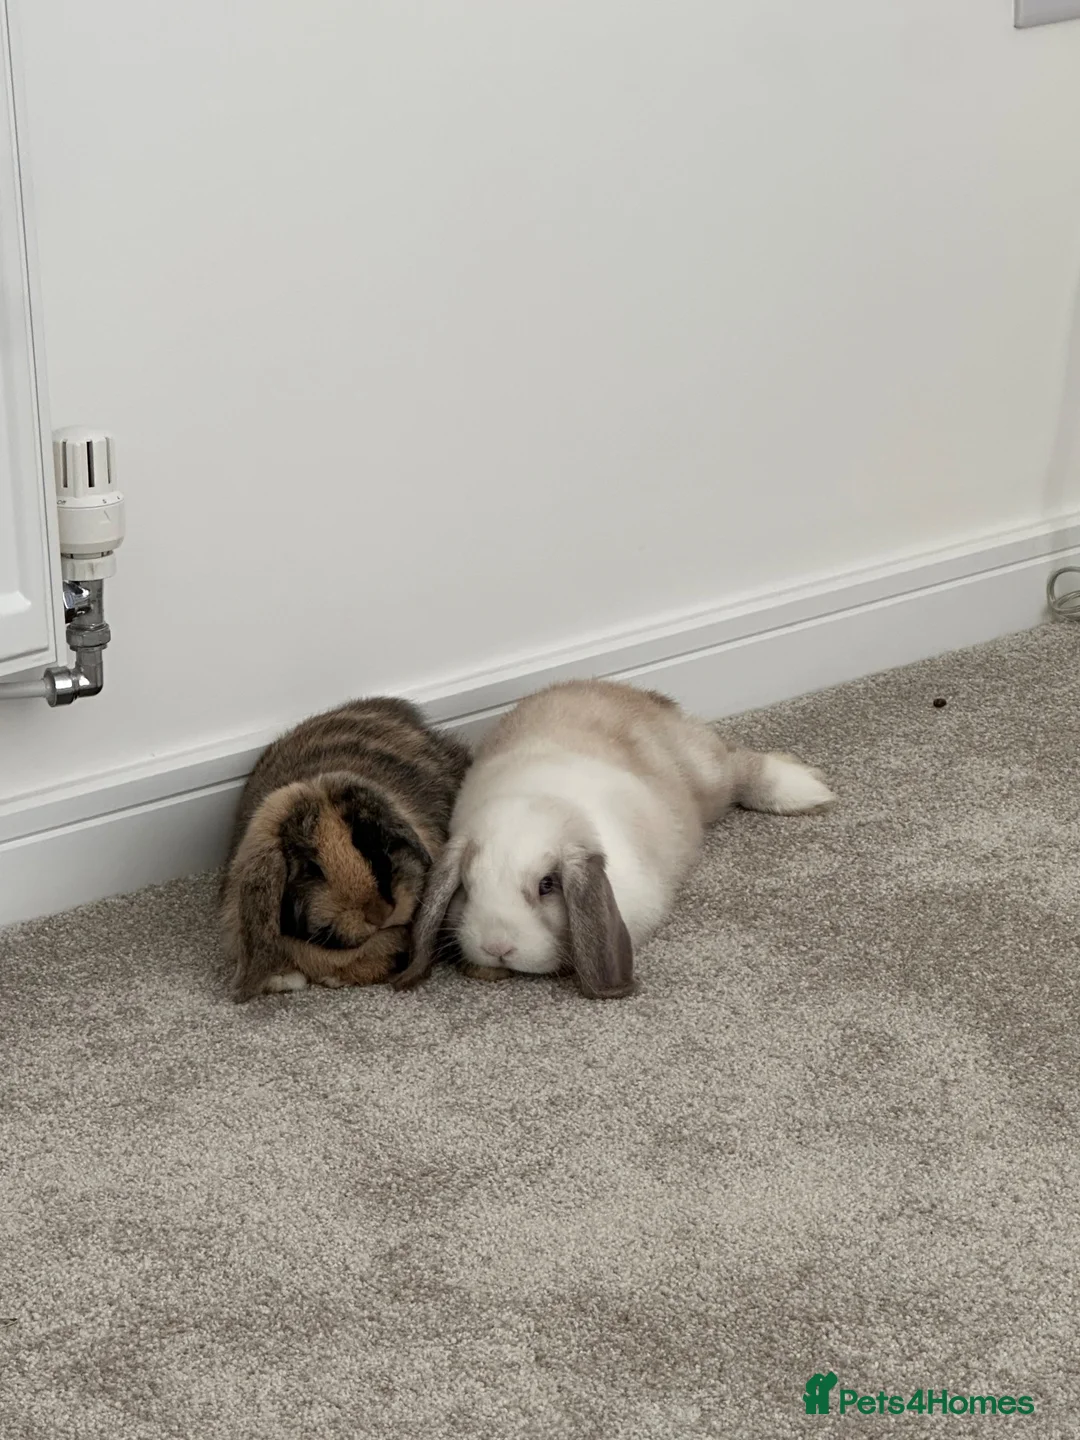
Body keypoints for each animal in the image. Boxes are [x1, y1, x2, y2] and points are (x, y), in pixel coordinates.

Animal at [394, 679, 834, 999]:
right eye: (466, 887)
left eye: (547, 885)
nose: (498, 947)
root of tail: (628, 692)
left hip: (707, 776)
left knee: (740, 767)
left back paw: (807, 790)